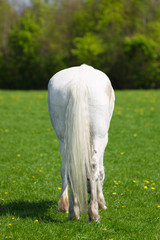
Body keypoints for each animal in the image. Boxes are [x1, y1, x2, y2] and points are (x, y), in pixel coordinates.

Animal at [47, 63, 114, 221]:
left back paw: (72, 211)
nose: (89, 192)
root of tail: (80, 80)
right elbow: (100, 170)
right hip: (99, 135)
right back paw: (94, 213)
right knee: (94, 165)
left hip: (63, 138)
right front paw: (101, 203)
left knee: (67, 166)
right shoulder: (104, 139)